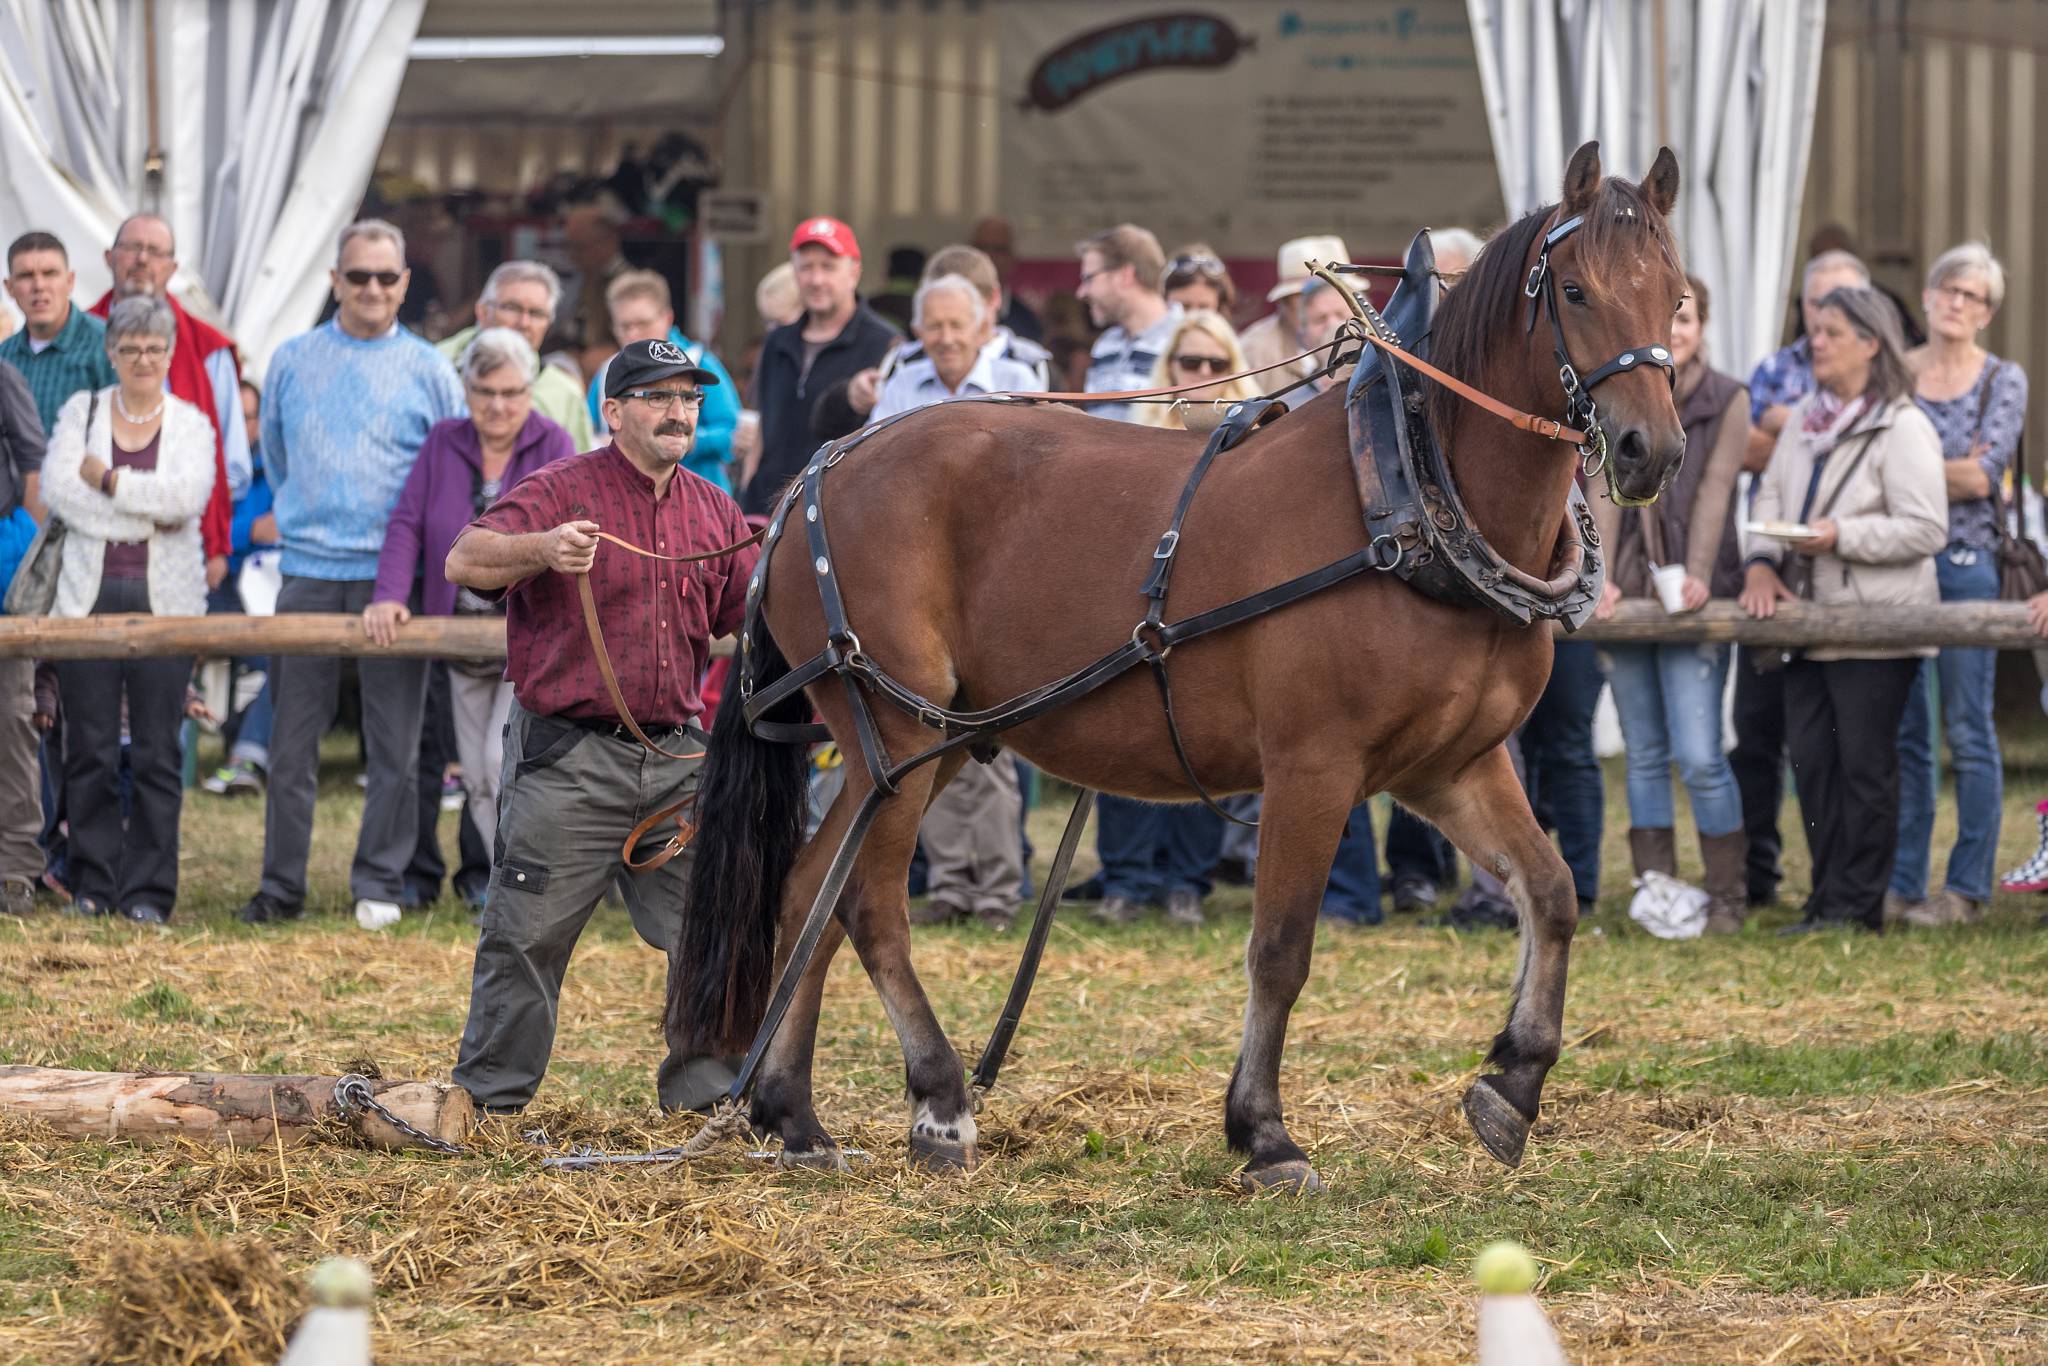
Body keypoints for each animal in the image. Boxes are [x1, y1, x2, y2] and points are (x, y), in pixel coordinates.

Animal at [668, 142, 1688, 1192]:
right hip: (897, 730)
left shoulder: (1450, 767)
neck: (1411, 487)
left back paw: (792, 1113)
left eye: (1678, 296)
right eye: (1576, 289)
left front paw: (1512, 1082)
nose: (1652, 449)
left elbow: (1551, 893)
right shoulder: (1313, 766)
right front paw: (1264, 1132)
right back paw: (941, 1099)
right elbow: (1281, 947)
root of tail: (815, 472)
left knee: (810, 894)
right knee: (869, 906)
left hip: (927, 744)